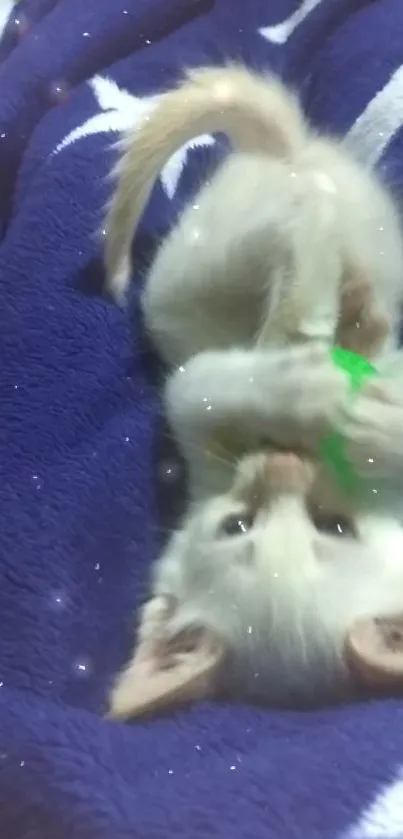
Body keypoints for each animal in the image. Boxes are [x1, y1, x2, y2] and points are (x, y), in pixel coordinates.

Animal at [103, 67, 403, 720]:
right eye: (236, 526)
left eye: (334, 528)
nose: (282, 463)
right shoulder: (199, 439)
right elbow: (194, 388)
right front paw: (320, 398)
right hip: (209, 260)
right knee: (305, 210)